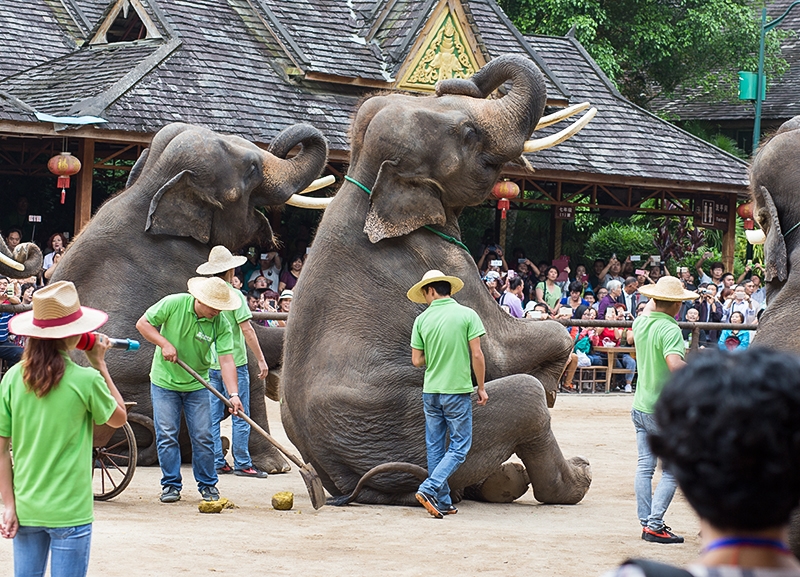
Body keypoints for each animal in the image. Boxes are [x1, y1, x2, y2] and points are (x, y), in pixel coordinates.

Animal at [282, 53, 592, 504]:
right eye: (468, 134)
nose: (453, 80)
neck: (366, 176)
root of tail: (351, 486)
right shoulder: (444, 260)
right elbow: (500, 348)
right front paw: (551, 385)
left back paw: (502, 482)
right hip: (412, 430)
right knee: (526, 401)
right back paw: (576, 478)